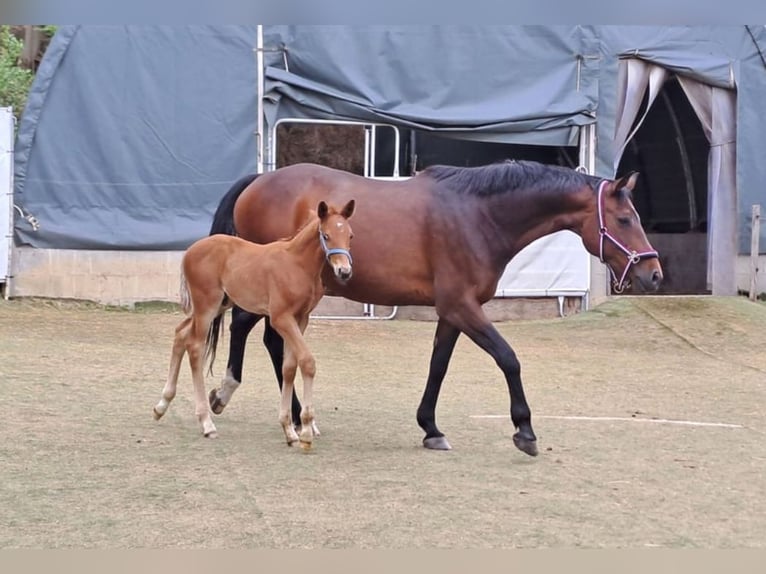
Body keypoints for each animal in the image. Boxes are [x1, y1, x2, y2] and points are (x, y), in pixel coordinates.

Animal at [156, 200, 360, 452]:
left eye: (350, 235)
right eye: (326, 235)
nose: (344, 271)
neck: (297, 265)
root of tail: (190, 251)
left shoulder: (300, 319)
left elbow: (289, 367)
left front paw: (290, 431)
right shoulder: (281, 318)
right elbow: (306, 362)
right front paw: (305, 431)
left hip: (218, 305)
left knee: (180, 333)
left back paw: (161, 405)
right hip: (206, 306)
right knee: (194, 347)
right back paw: (206, 423)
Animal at [207, 160, 664, 456]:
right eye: (625, 219)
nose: (655, 273)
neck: (477, 214)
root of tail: (260, 178)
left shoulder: (452, 311)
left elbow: (438, 366)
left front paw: (430, 428)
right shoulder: (463, 306)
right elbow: (508, 358)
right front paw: (525, 430)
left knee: (262, 336)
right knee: (252, 330)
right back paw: (239, 398)